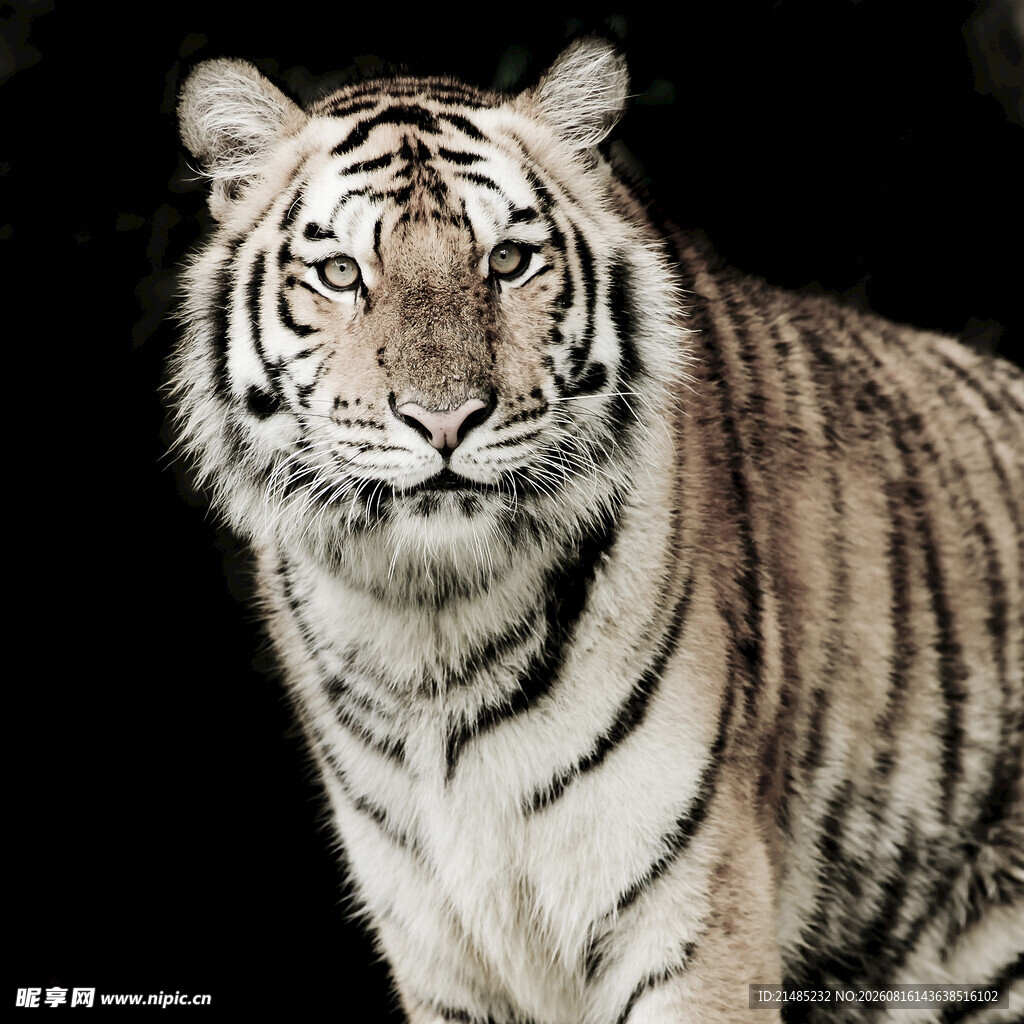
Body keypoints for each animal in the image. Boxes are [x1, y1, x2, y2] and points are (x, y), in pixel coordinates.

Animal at [169, 37, 1024, 1024]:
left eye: (507, 261)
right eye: (342, 273)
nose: (443, 419)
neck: (427, 630)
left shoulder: (690, 918)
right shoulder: (437, 949)